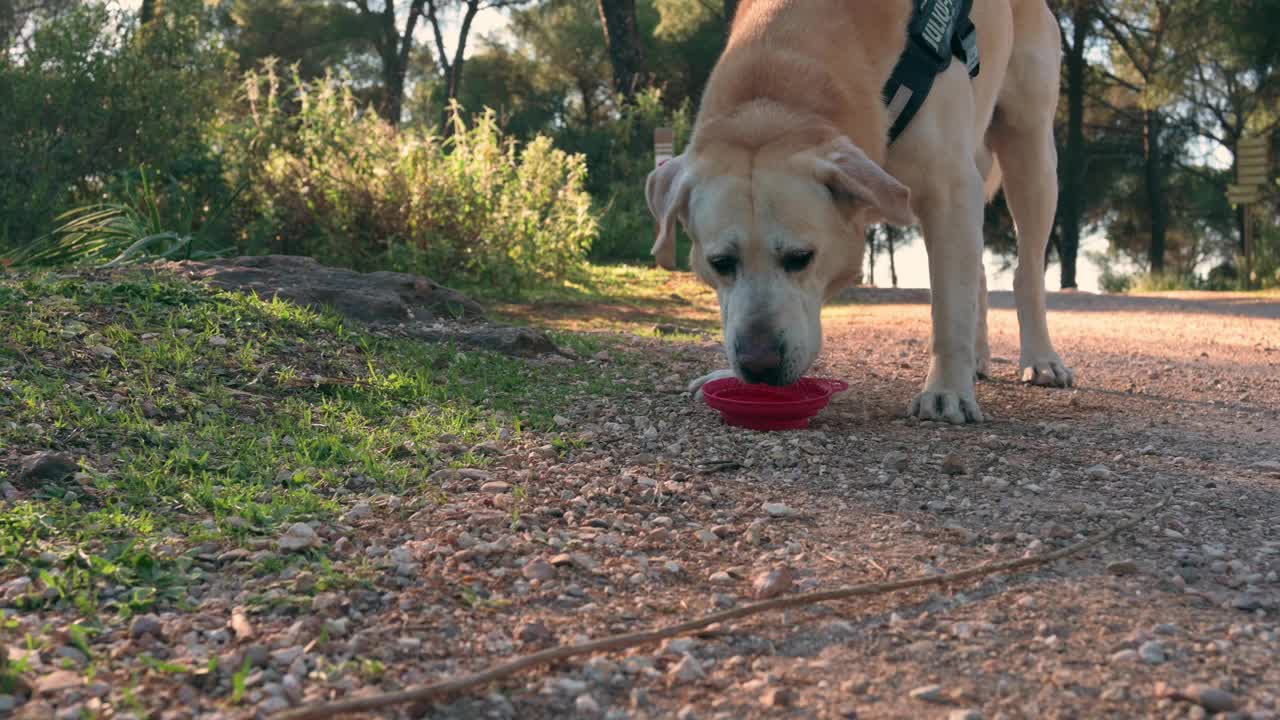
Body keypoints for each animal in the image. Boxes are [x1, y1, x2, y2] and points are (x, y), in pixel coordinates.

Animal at [645, 0, 1075, 420]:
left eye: (801, 258)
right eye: (719, 263)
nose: (759, 366)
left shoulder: (950, 188)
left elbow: (950, 308)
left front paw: (947, 391)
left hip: (1030, 152)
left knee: (1026, 271)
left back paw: (1041, 359)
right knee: (979, 274)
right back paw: (978, 359)